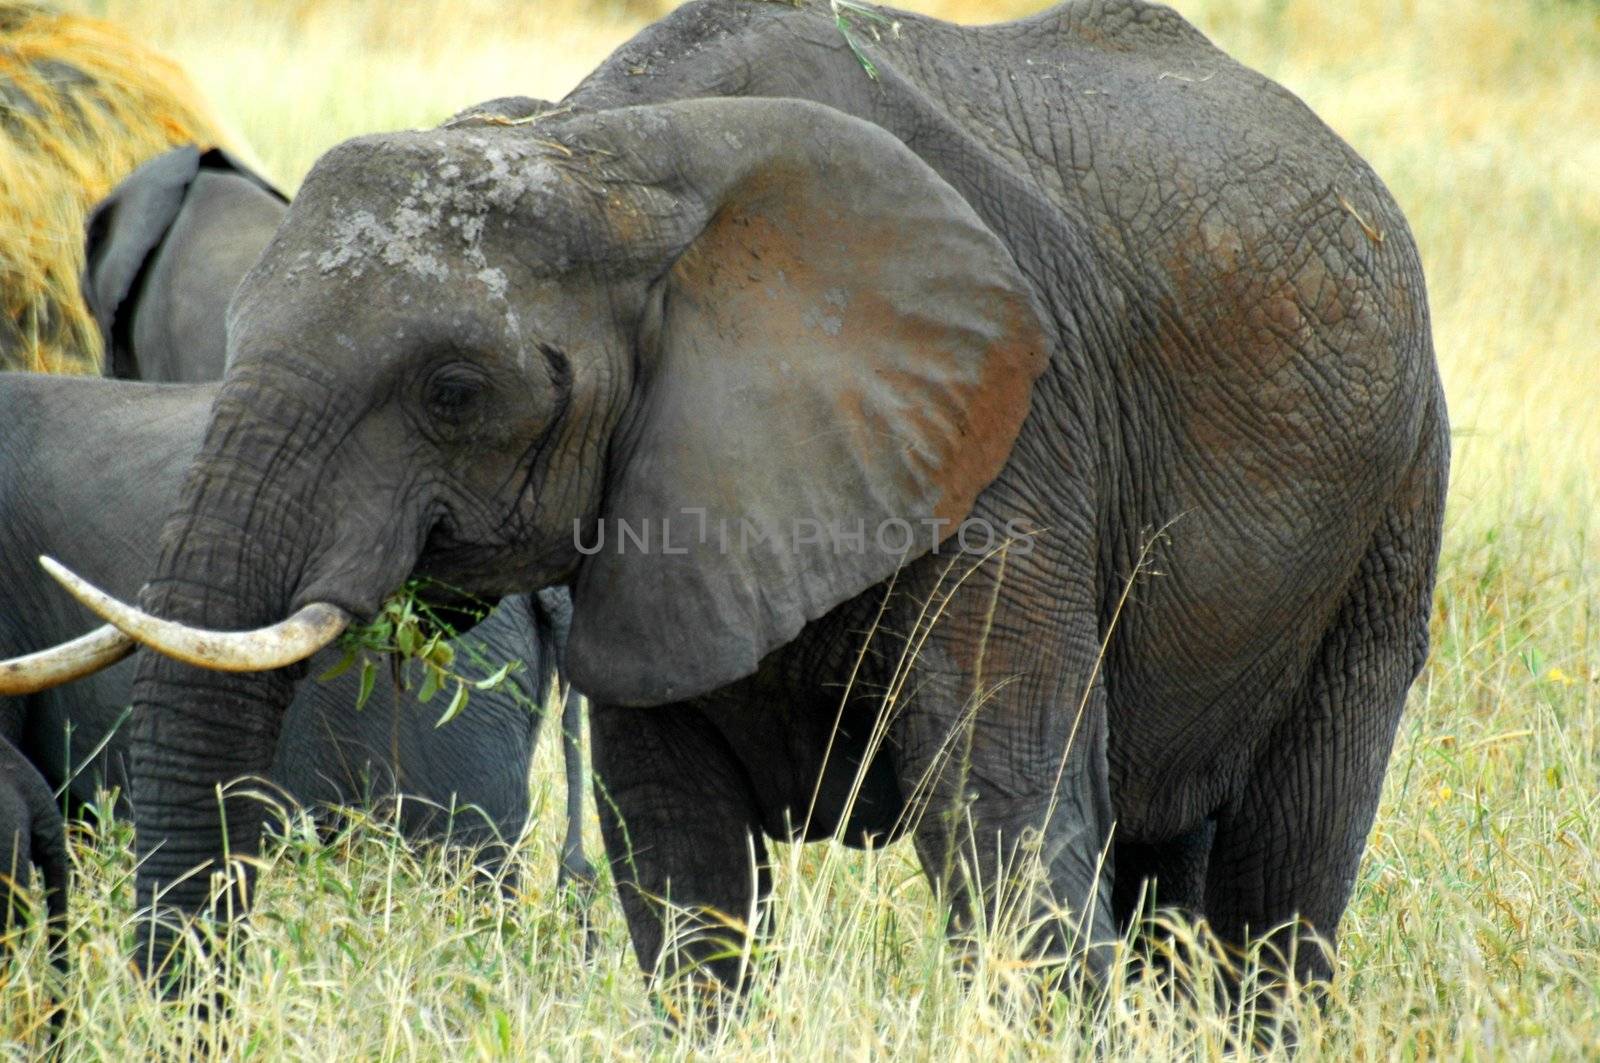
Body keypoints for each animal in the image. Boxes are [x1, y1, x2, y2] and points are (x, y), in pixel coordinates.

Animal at [43, 2, 1452, 998]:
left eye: (452, 390)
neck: (604, 151)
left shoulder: (1015, 439)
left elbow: (1003, 826)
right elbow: (677, 859)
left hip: (1396, 496)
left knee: (1281, 883)